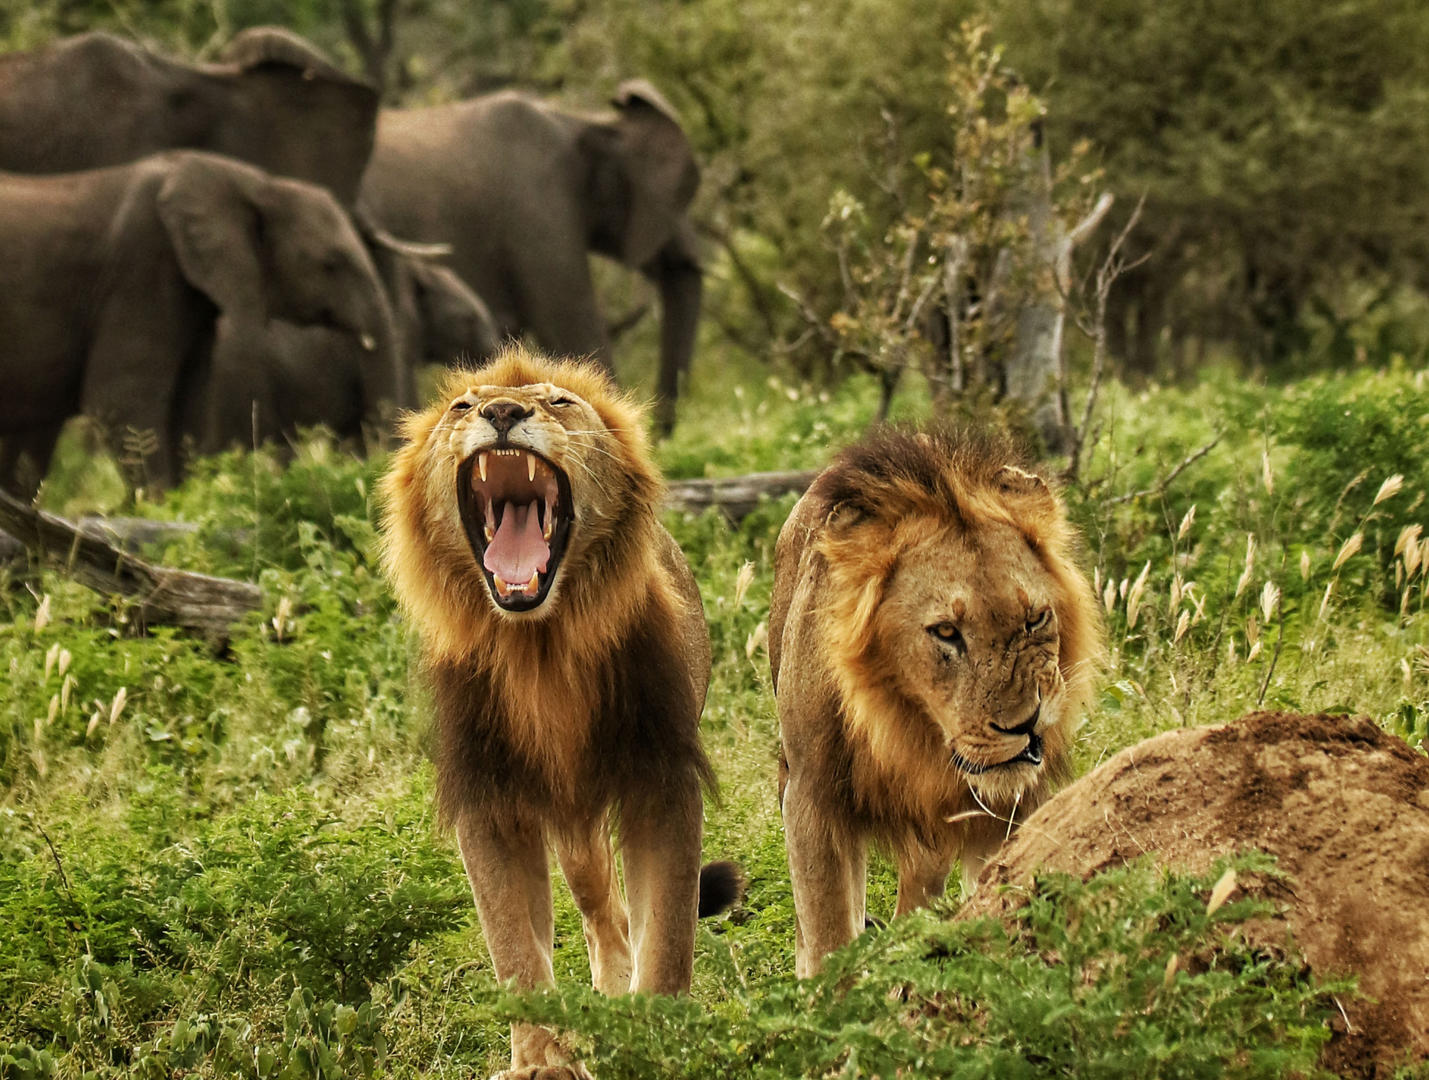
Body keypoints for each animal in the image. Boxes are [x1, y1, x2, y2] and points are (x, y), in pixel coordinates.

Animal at [379, 345, 739, 1078]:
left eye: (559, 403)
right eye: (463, 406)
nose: (501, 411)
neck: (538, 648)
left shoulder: (660, 779)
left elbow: (668, 933)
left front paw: (655, 1043)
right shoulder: (491, 798)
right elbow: (515, 949)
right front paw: (542, 1061)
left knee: (617, 917)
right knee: (599, 912)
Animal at [769, 427, 1103, 977]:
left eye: (1034, 618)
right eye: (946, 632)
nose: (1027, 724)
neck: (907, 729)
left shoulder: (1012, 809)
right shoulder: (811, 798)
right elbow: (828, 936)